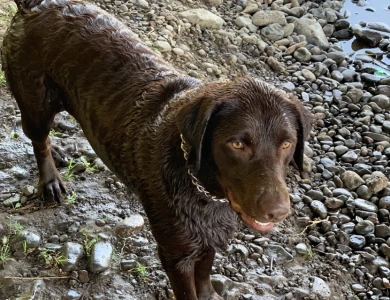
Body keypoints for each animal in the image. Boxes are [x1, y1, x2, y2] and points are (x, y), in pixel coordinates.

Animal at [0, 1, 310, 298]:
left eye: (287, 143)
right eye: (237, 144)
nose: (278, 212)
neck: (203, 187)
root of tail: (35, 5)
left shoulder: (208, 236)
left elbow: (205, 274)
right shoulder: (176, 254)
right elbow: (188, 289)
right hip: (36, 103)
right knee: (38, 140)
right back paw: (50, 180)